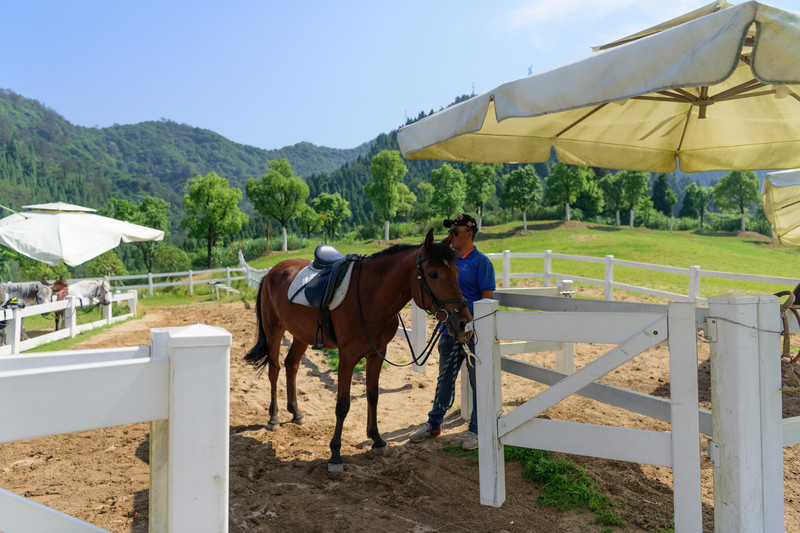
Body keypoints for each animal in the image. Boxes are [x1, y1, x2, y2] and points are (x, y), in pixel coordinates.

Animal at [244, 229, 468, 470]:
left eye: (456, 271)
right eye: (433, 274)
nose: (464, 322)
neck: (371, 296)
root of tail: (272, 272)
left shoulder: (376, 354)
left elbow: (373, 396)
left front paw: (377, 440)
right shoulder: (348, 356)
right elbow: (342, 404)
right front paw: (335, 454)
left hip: (300, 335)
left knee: (291, 365)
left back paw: (296, 413)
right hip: (274, 330)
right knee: (274, 370)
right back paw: (274, 418)